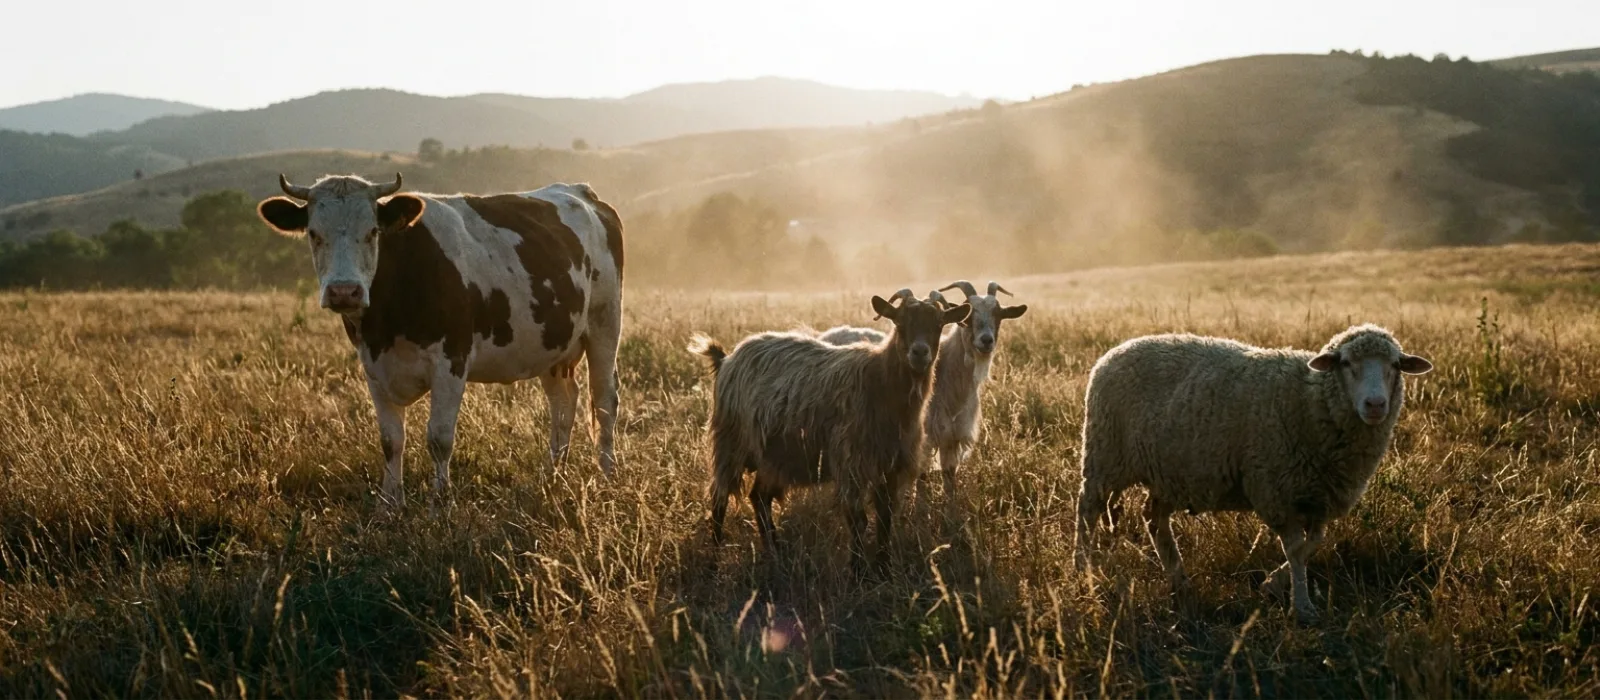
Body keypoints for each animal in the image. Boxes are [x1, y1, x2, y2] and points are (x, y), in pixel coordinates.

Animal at [257, 173, 624, 507]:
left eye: (372, 232)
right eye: (314, 234)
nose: (344, 291)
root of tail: (581, 191)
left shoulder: (451, 361)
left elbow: (439, 437)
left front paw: (440, 501)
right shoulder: (373, 367)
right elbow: (390, 439)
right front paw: (390, 504)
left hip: (605, 324)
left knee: (604, 402)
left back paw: (606, 476)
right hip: (554, 344)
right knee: (563, 403)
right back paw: (553, 475)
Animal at [688, 290, 971, 567]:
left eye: (938, 324)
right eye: (899, 323)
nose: (919, 353)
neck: (880, 382)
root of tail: (727, 359)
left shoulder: (891, 464)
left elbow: (885, 516)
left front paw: (883, 565)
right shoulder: (852, 461)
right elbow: (858, 519)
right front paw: (857, 570)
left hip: (773, 457)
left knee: (759, 496)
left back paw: (775, 551)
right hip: (730, 441)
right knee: (719, 497)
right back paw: (716, 554)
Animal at [818, 281, 1028, 494]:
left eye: (999, 315)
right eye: (969, 318)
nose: (986, 340)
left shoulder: (952, 439)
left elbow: (950, 482)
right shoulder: (925, 440)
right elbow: (922, 483)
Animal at [1072, 324, 1434, 623]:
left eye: (1395, 365)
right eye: (1345, 363)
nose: (1375, 405)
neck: (1311, 398)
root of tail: (1114, 351)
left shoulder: (1319, 495)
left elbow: (1313, 543)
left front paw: (1274, 585)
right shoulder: (1277, 490)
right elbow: (1295, 549)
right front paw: (1302, 607)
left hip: (1168, 472)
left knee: (1153, 517)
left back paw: (1178, 579)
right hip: (1105, 456)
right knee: (1088, 511)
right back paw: (1083, 572)